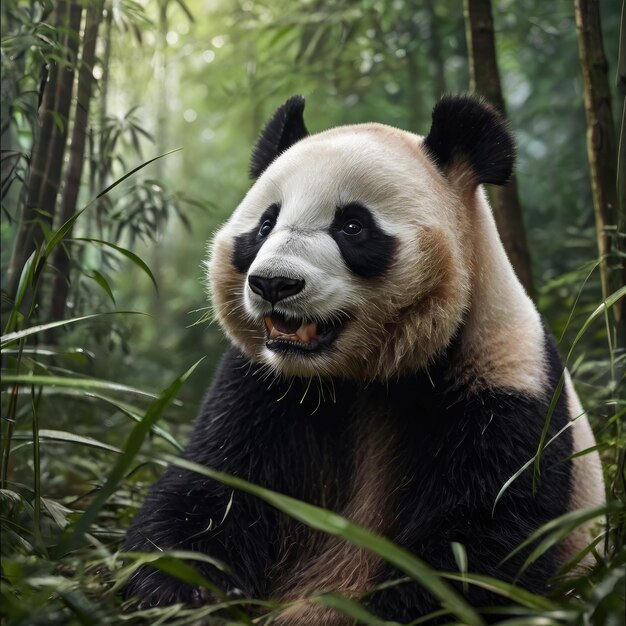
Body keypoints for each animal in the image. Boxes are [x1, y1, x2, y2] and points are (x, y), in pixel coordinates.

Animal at [123, 92, 604, 620]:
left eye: (352, 226)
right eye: (266, 224)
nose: (274, 283)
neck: (359, 374)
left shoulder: (505, 381)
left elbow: (481, 540)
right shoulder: (261, 385)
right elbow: (214, 484)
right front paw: (181, 589)